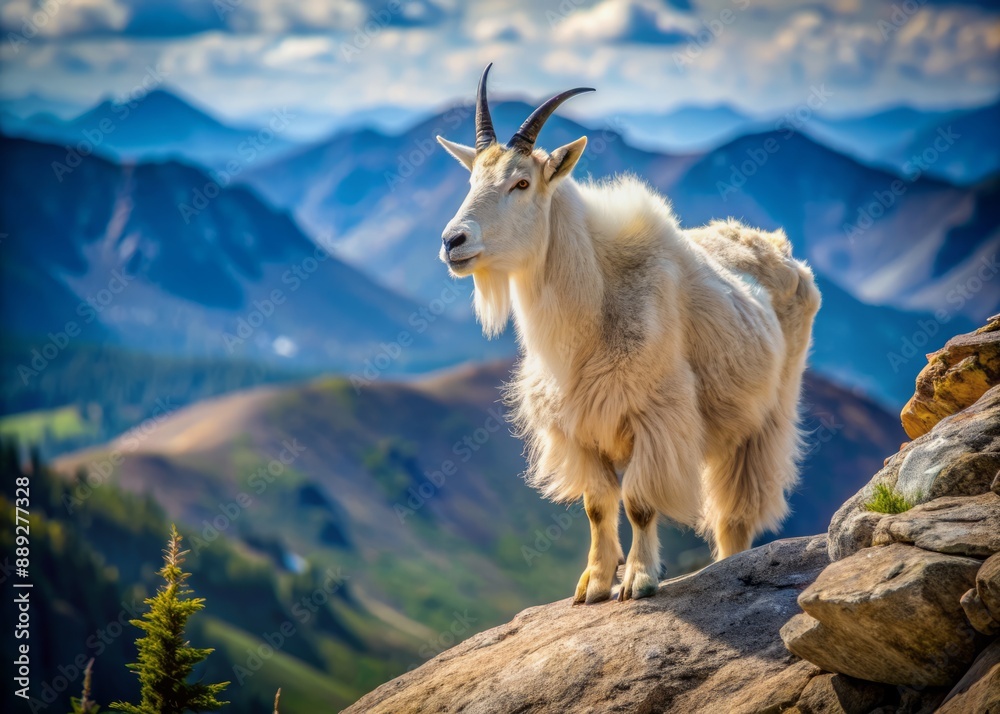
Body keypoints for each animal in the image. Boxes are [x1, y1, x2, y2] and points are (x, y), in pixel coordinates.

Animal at [436, 65, 821, 603]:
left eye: (521, 182)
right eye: (472, 178)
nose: (453, 241)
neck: (591, 314)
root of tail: (781, 249)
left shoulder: (656, 416)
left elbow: (639, 501)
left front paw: (638, 580)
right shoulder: (576, 431)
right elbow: (598, 505)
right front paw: (594, 585)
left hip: (766, 419)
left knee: (736, 514)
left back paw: (731, 566)